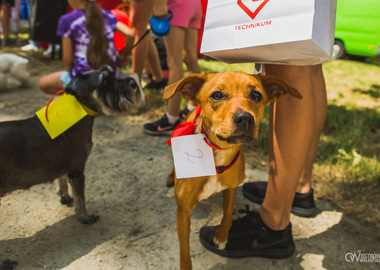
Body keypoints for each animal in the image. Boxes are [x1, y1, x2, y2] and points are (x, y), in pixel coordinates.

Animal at [164, 71, 302, 270]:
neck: (218, 156)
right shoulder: (183, 212)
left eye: (256, 95)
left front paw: (222, 235)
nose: (244, 118)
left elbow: (228, 213)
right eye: (217, 95)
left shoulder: (231, 188)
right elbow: (184, 250)